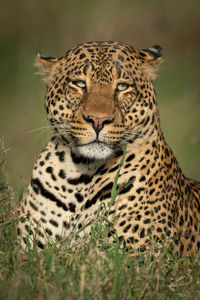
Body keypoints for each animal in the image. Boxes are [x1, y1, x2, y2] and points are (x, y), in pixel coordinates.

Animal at [16, 39, 200, 255]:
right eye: (80, 83)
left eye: (122, 86)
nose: (98, 120)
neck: (81, 176)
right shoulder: (30, 250)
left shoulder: (132, 255)